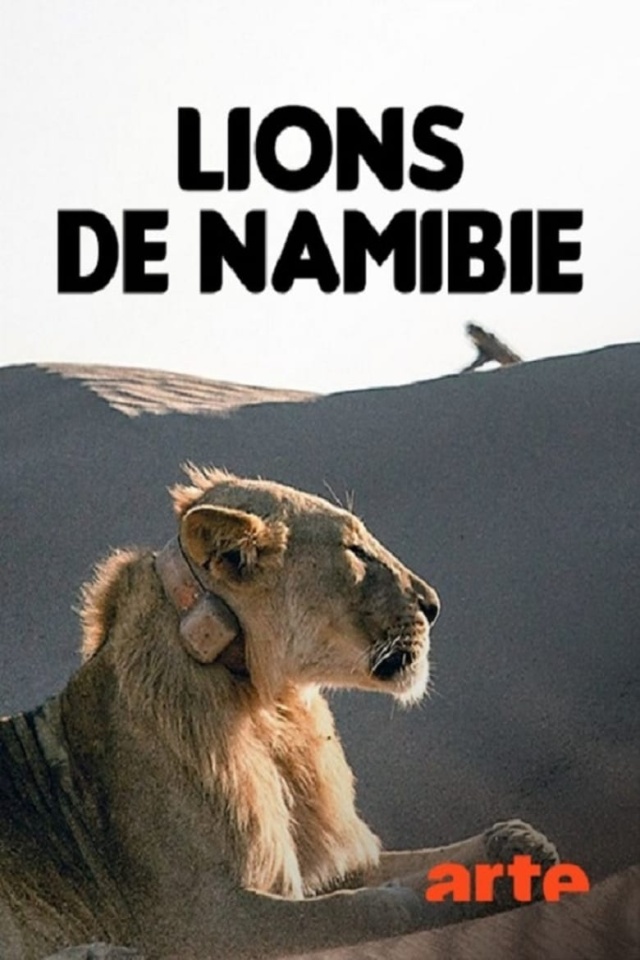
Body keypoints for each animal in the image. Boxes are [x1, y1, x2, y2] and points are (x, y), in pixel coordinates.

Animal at [0, 467, 558, 960]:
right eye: (355, 551)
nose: (434, 604)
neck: (270, 707)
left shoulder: (332, 855)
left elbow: (412, 864)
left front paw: (517, 847)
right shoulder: (203, 919)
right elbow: (361, 909)